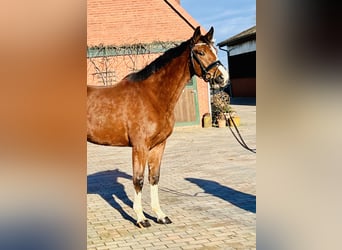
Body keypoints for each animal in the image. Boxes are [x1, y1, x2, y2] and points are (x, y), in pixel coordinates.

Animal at [87, 26, 228, 228]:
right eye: (200, 52)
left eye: (215, 50)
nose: (223, 78)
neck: (152, 96)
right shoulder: (140, 147)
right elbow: (138, 180)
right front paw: (141, 218)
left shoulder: (158, 146)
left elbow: (154, 177)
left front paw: (160, 215)